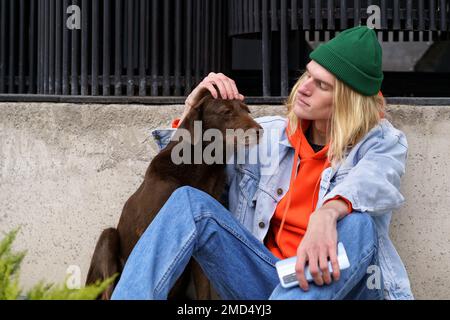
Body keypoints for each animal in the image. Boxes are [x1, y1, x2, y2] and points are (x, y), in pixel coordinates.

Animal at [85, 93, 262, 300]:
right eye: (226, 111)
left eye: (247, 110)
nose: (260, 131)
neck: (203, 165)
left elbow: (204, 290)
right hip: (108, 239)